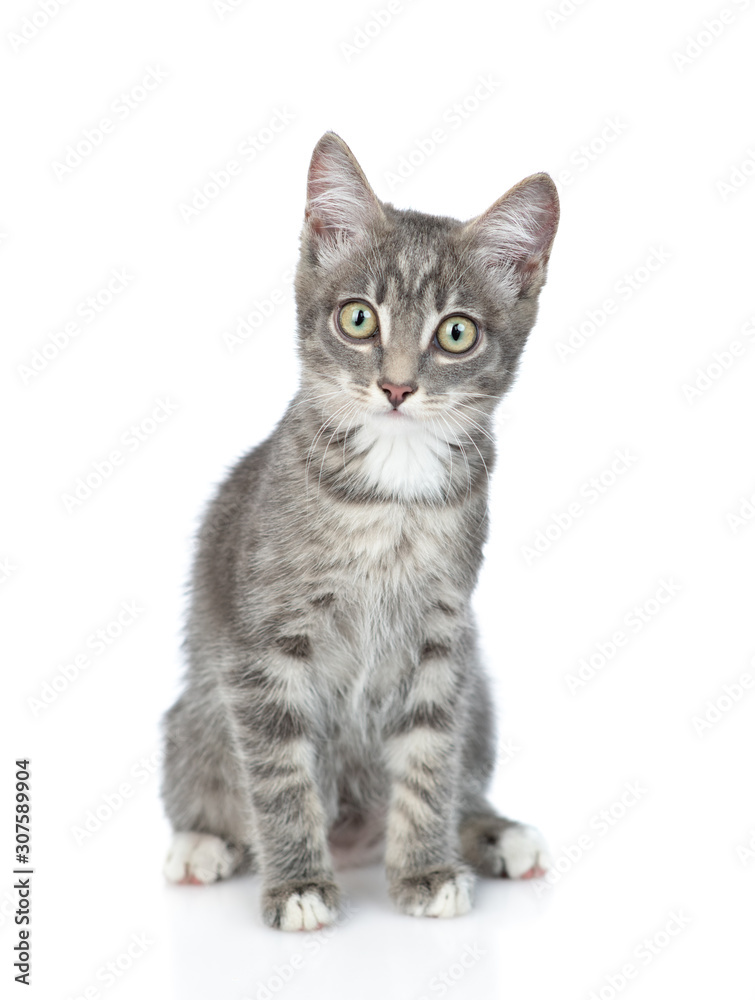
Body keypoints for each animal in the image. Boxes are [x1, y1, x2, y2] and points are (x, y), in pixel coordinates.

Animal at [161, 131, 560, 928]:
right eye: (358, 319)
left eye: (456, 333)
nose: (398, 386)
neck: (391, 496)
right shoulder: (262, 646)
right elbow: (280, 772)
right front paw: (297, 885)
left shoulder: (443, 637)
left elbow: (430, 757)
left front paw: (427, 867)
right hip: (194, 711)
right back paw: (202, 842)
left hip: (479, 692)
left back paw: (492, 830)